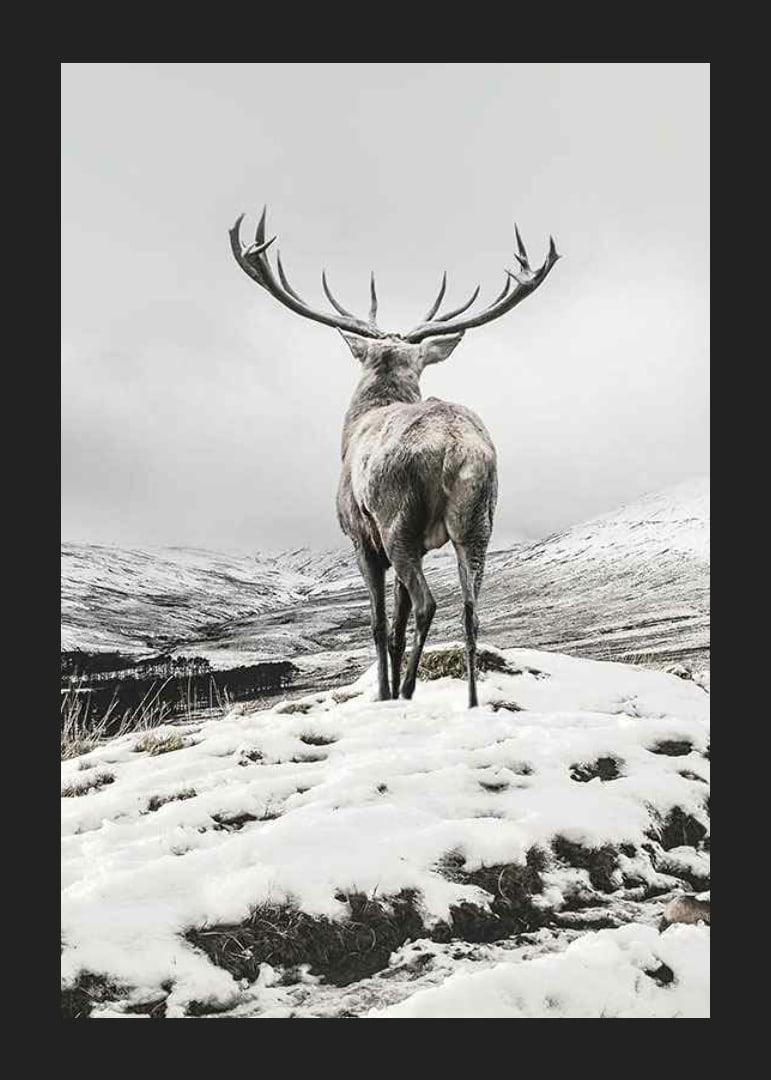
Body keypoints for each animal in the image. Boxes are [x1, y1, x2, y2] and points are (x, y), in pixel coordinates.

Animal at [230, 208, 559, 708]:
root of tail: (455, 447)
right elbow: (398, 627)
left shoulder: (360, 537)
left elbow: (381, 624)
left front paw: (383, 694)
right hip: (478, 521)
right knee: (471, 611)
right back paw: (470, 702)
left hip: (397, 520)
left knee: (428, 603)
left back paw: (405, 692)